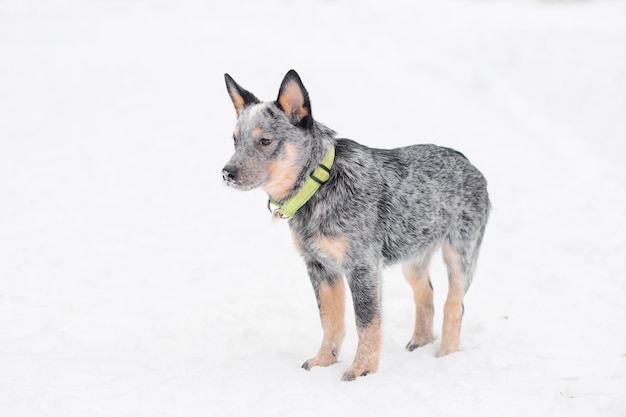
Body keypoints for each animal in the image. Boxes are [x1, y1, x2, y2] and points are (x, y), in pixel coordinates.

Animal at [219, 69, 488, 380]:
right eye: (235, 140)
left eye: (265, 141)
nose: (226, 173)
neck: (320, 184)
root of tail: (467, 162)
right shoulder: (320, 268)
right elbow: (330, 320)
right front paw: (324, 360)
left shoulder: (363, 266)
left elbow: (366, 322)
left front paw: (362, 369)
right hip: (413, 257)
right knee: (426, 295)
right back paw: (420, 342)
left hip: (461, 256)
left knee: (454, 304)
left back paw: (447, 354)